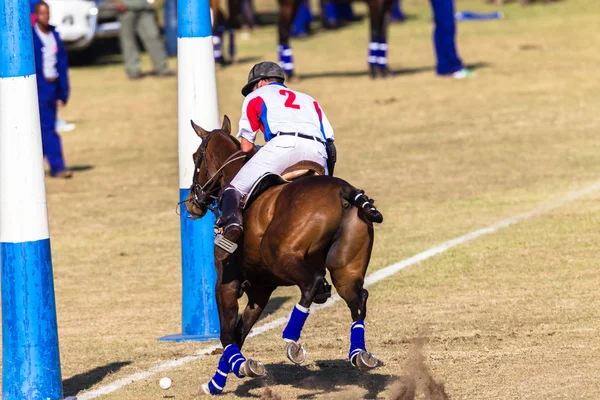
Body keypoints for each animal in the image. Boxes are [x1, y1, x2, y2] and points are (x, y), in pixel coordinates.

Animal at [184, 115, 384, 394]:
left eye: (195, 157)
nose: (192, 203)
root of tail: (347, 192)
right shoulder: (261, 288)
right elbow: (239, 331)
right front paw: (226, 375)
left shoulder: (225, 283)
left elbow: (227, 334)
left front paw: (225, 376)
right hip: (346, 268)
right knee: (357, 298)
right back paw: (359, 354)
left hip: (280, 256)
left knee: (312, 284)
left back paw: (292, 341)